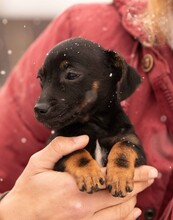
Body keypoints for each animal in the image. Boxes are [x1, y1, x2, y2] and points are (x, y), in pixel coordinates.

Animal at [34, 37, 146, 197]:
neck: (94, 124)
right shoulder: (57, 145)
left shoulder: (135, 144)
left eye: (72, 75)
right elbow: (76, 152)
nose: (38, 109)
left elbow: (124, 147)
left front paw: (119, 176)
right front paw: (89, 174)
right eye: (40, 79)